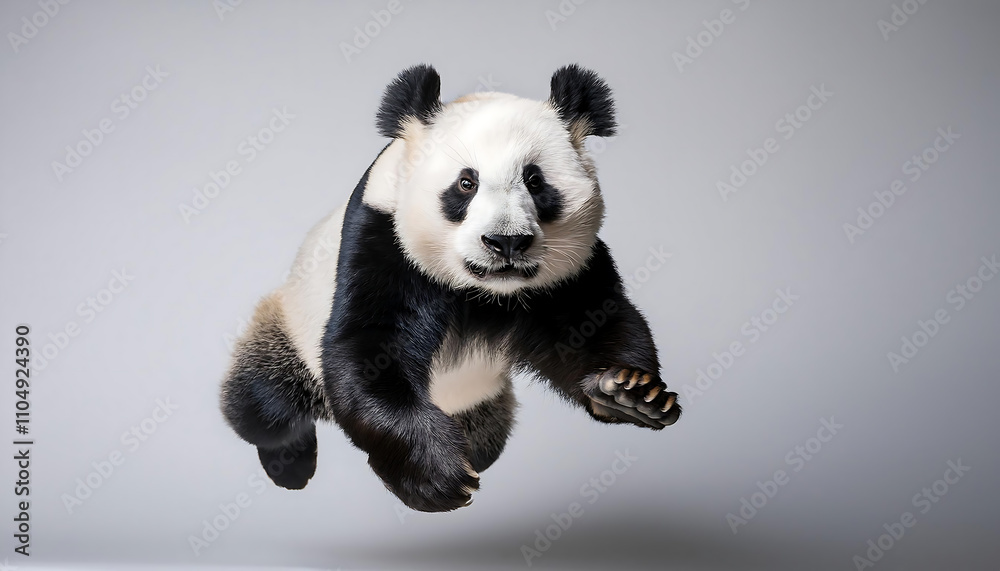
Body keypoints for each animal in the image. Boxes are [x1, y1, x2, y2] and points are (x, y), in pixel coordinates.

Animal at [220, 64, 681, 513]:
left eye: (535, 181)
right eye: (466, 183)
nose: (506, 242)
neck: (485, 292)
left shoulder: (569, 271)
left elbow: (595, 321)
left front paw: (628, 392)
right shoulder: (382, 240)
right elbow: (369, 348)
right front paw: (435, 477)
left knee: (488, 433)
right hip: (291, 326)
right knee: (265, 402)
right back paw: (290, 465)